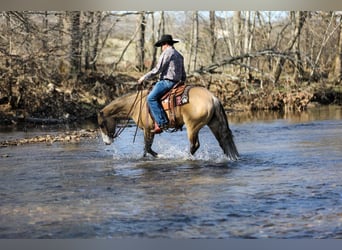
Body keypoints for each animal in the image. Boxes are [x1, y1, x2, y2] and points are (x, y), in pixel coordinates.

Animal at [97, 85, 239, 160]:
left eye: (101, 124)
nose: (106, 142)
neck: (137, 104)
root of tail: (212, 98)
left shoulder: (148, 130)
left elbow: (147, 148)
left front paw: (160, 156)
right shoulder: (150, 131)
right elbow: (146, 148)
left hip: (192, 126)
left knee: (195, 145)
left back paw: (186, 157)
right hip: (214, 124)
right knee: (222, 141)